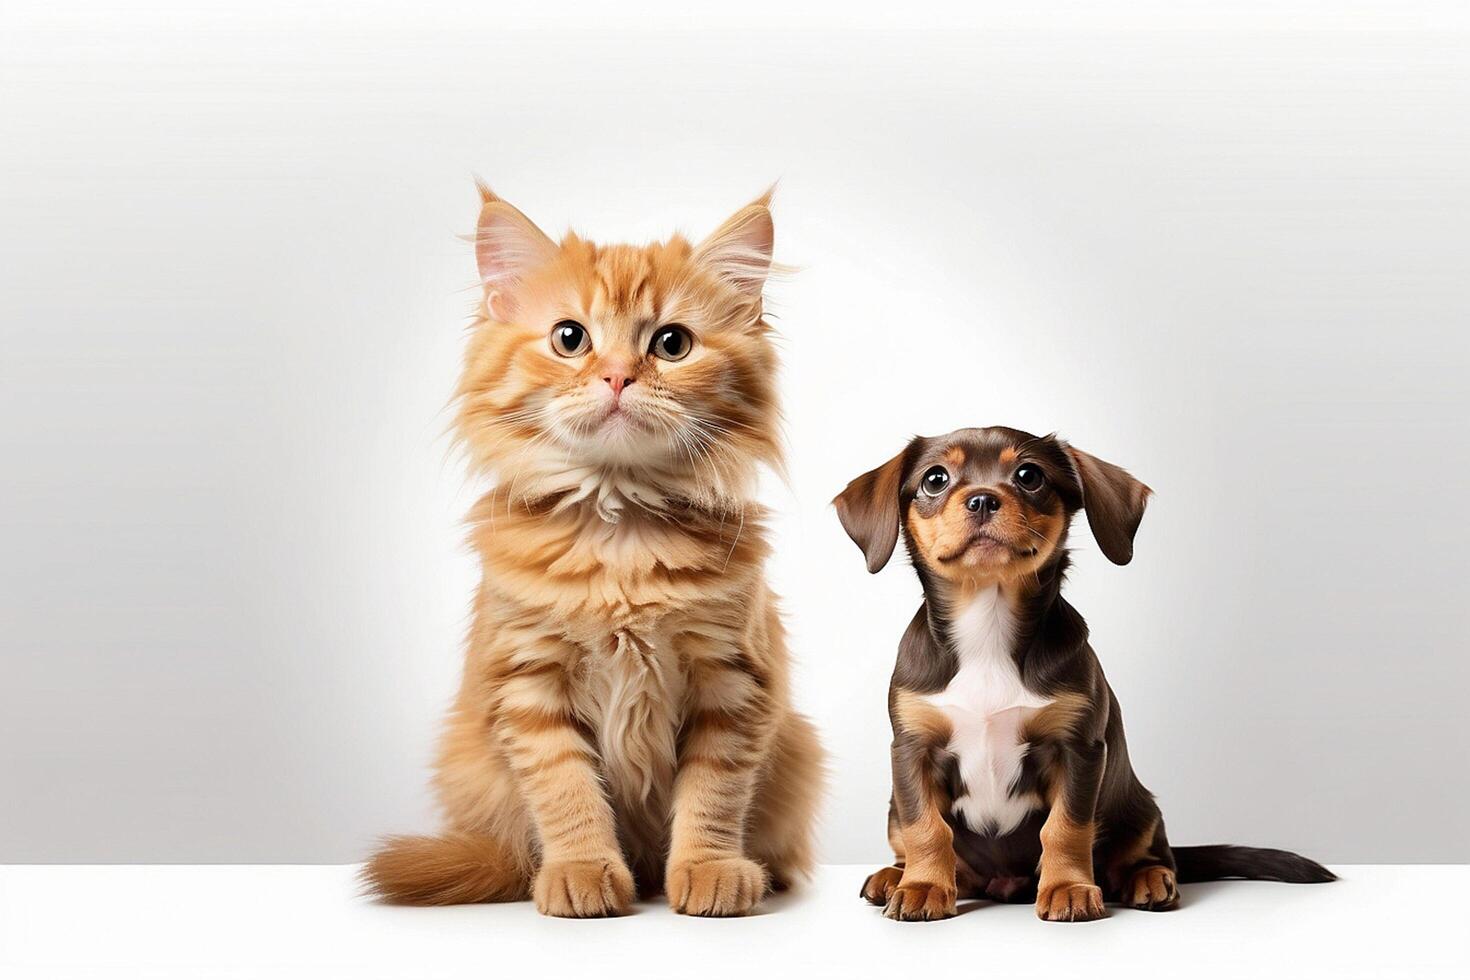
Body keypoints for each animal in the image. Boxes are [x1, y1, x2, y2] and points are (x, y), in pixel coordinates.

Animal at [364, 183, 829, 922]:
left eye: (672, 344)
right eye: (570, 338)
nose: (615, 377)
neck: (621, 533)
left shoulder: (730, 679)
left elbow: (714, 794)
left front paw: (709, 870)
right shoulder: (530, 682)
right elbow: (567, 792)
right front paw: (582, 872)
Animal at [840, 426, 1334, 922]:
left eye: (1029, 475)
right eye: (935, 479)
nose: (982, 499)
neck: (987, 627)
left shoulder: (1077, 748)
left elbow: (1066, 827)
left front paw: (1068, 888)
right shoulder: (913, 749)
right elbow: (925, 826)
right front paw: (923, 886)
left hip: (1139, 809)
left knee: (1149, 855)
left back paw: (1149, 879)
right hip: (894, 808)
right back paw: (894, 877)